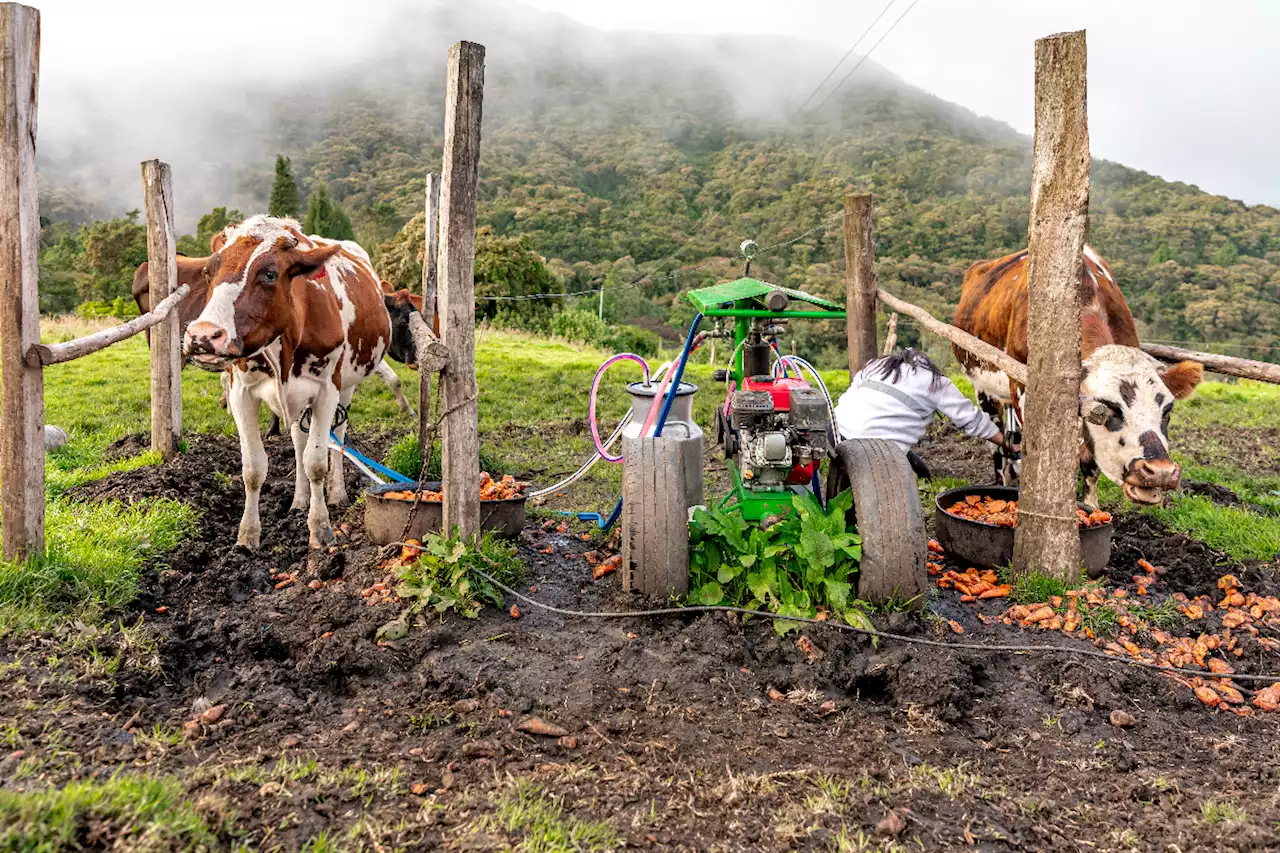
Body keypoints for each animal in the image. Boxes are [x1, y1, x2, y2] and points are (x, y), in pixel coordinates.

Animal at [181, 216, 389, 548]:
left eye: (269, 274)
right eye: (208, 271)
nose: (202, 336)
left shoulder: (326, 391)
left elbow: (316, 462)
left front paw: (320, 528)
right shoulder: (240, 393)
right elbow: (254, 468)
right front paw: (248, 535)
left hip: (347, 385)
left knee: (339, 438)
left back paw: (337, 493)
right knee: (298, 440)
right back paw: (299, 500)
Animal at [957, 242, 1203, 504]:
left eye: (1168, 410)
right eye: (1110, 407)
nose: (1159, 472)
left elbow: (1088, 464)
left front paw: (1090, 505)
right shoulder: (1025, 392)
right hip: (982, 385)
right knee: (995, 440)